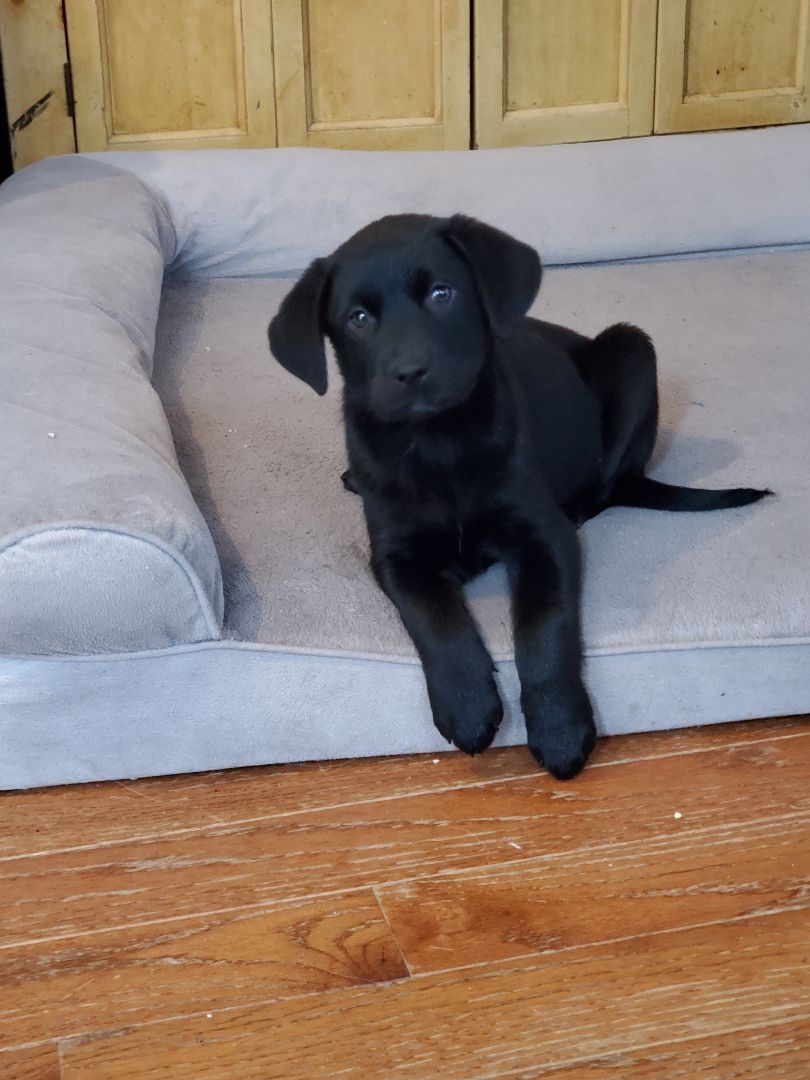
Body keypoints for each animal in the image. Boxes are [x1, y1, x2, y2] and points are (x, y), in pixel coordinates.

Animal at [270, 217, 768, 777]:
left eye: (442, 293)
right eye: (358, 319)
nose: (411, 372)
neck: (439, 442)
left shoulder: (543, 537)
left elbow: (543, 627)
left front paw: (559, 727)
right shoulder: (396, 555)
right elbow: (433, 617)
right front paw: (467, 706)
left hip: (631, 349)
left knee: (608, 485)